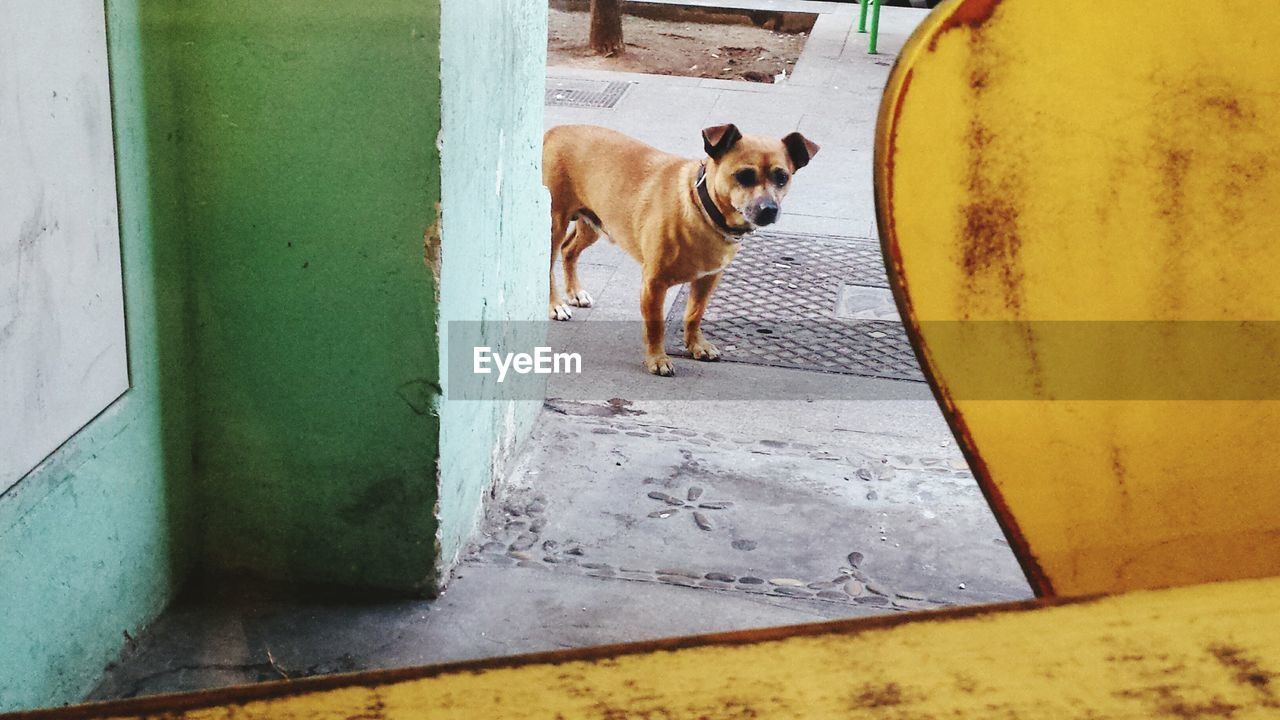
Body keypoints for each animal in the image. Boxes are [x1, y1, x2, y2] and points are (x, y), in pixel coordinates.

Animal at [542, 124, 819, 376]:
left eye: (782, 177)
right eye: (744, 176)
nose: (769, 209)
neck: (702, 210)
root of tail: (554, 131)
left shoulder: (708, 280)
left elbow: (695, 314)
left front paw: (696, 345)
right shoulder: (653, 285)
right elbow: (656, 327)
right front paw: (657, 359)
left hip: (596, 222)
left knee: (569, 250)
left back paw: (575, 292)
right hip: (554, 224)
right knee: (548, 265)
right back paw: (555, 305)